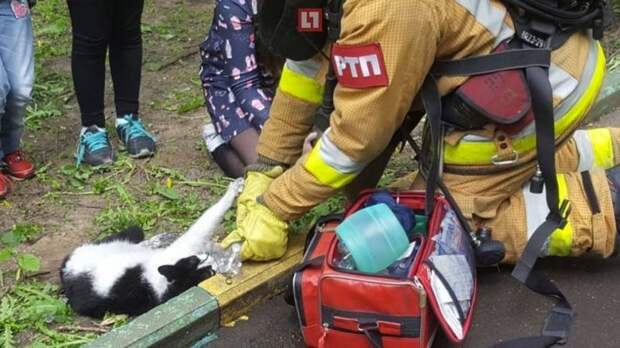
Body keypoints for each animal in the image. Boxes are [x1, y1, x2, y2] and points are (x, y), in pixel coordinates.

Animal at [60, 179, 243, 318]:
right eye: (195, 262)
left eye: (207, 270)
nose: (209, 259)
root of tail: (64, 272)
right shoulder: (183, 248)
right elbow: (205, 221)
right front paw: (234, 188)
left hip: (130, 232)